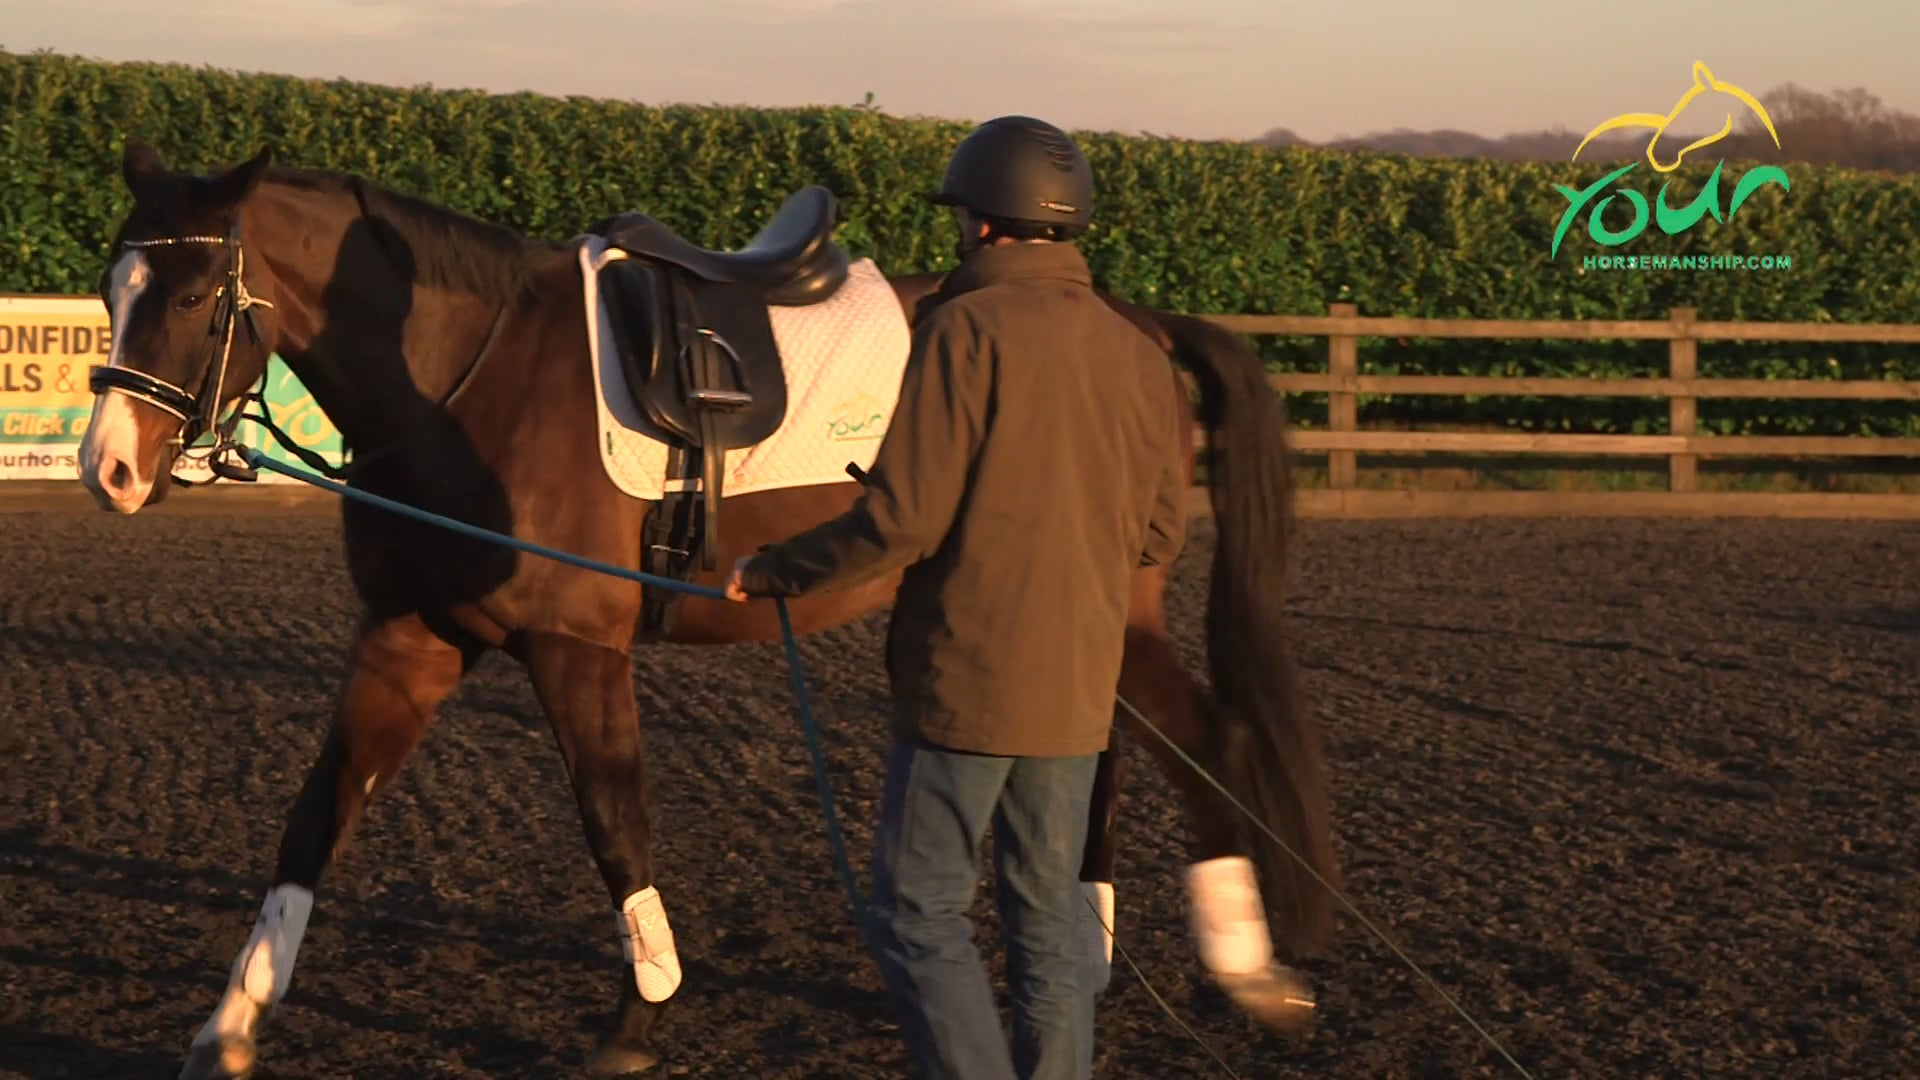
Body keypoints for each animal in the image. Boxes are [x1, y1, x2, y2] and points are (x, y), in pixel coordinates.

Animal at [71, 138, 1336, 1068]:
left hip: (1108, 606)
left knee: (1209, 737)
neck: (466, 385)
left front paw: (642, 1014)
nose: (108, 468)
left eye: (194, 293)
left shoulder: (577, 646)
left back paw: (1250, 971)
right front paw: (233, 1019)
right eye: (109, 287)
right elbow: (316, 815)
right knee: (1108, 750)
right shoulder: (408, 639)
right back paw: (1092, 948)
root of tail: (1138, 323)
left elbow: (612, 818)